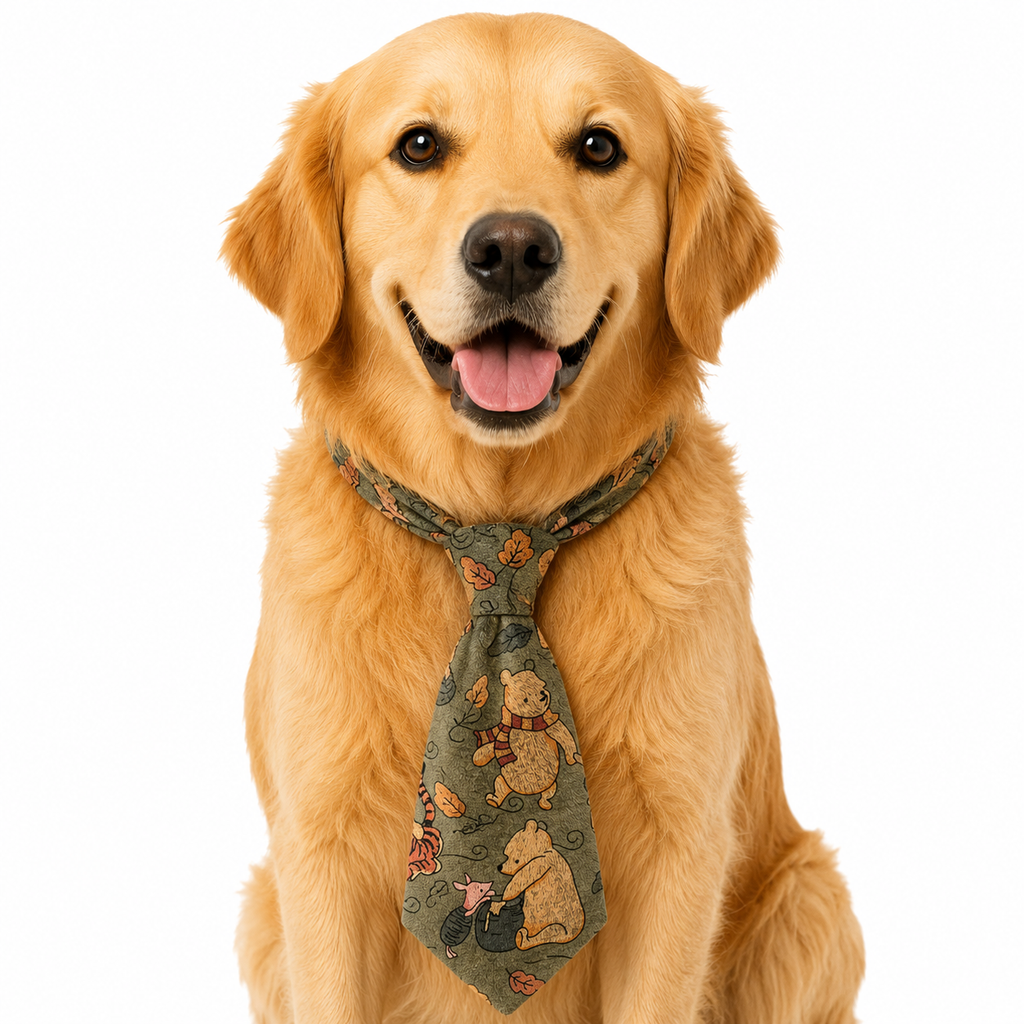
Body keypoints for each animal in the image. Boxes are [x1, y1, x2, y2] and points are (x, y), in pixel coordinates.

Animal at [473, 668, 580, 809]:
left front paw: (572, 757)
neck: (524, 722)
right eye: (525, 699)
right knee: (500, 785)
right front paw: (478, 757)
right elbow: (491, 746)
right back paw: (493, 800)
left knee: (547, 794)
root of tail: (523, 791)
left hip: (551, 785)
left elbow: (564, 735)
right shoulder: (503, 731)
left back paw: (545, 803)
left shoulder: (550, 721)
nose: (543, 696)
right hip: (504, 780)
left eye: (542, 686)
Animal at [485, 820, 584, 950]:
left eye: (516, 860)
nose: (499, 867)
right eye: (506, 854)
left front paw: (500, 902)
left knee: (550, 931)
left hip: (558, 924)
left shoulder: (541, 862)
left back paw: (523, 939)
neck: (544, 849)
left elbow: (519, 880)